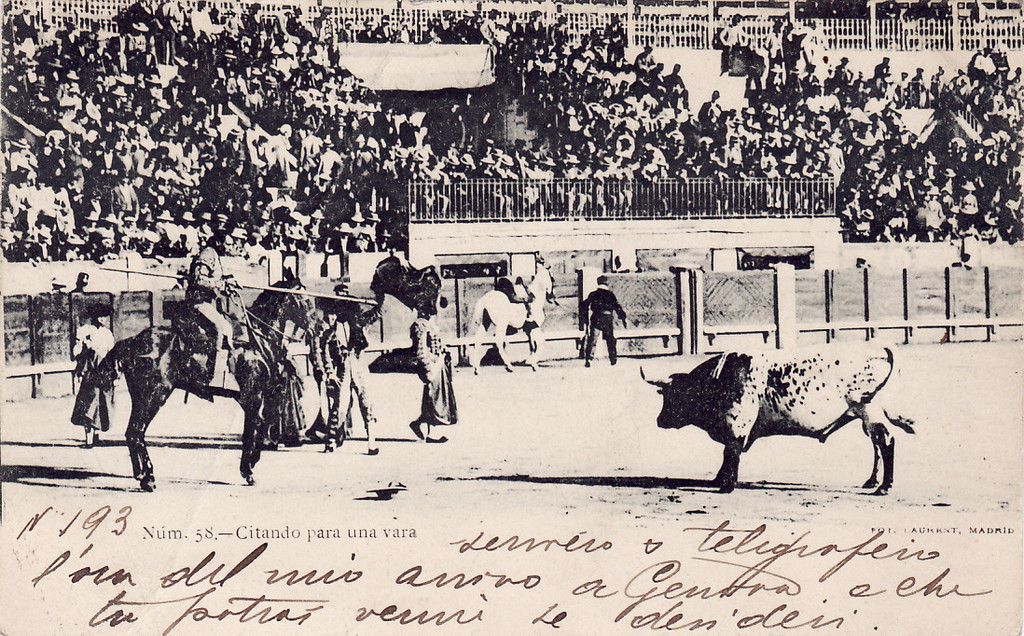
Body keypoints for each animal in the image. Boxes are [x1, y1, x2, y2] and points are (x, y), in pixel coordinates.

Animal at [71, 280, 315, 491]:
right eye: (305, 301)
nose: (316, 328)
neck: (258, 342)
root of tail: (133, 341)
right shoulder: (252, 397)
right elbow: (252, 429)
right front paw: (248, 471)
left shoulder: (257, 397)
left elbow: (263, 425)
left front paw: (252, 464)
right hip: (154, 395)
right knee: (136, 431)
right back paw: (149, 479)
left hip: (140, 397)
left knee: (133, 433)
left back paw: (140, 475)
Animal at [643, 344, 917, 493]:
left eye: (675, 395)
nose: (659, 420)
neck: (720, 378)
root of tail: (879, 349)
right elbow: (729, 453)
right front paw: (719, 479)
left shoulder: (737, 422)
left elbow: (731, 451)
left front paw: (726, 485)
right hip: (865, 415)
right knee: (876, 444)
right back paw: (872, 482)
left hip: (869, 409)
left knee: (886, 441)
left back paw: (884, 487)